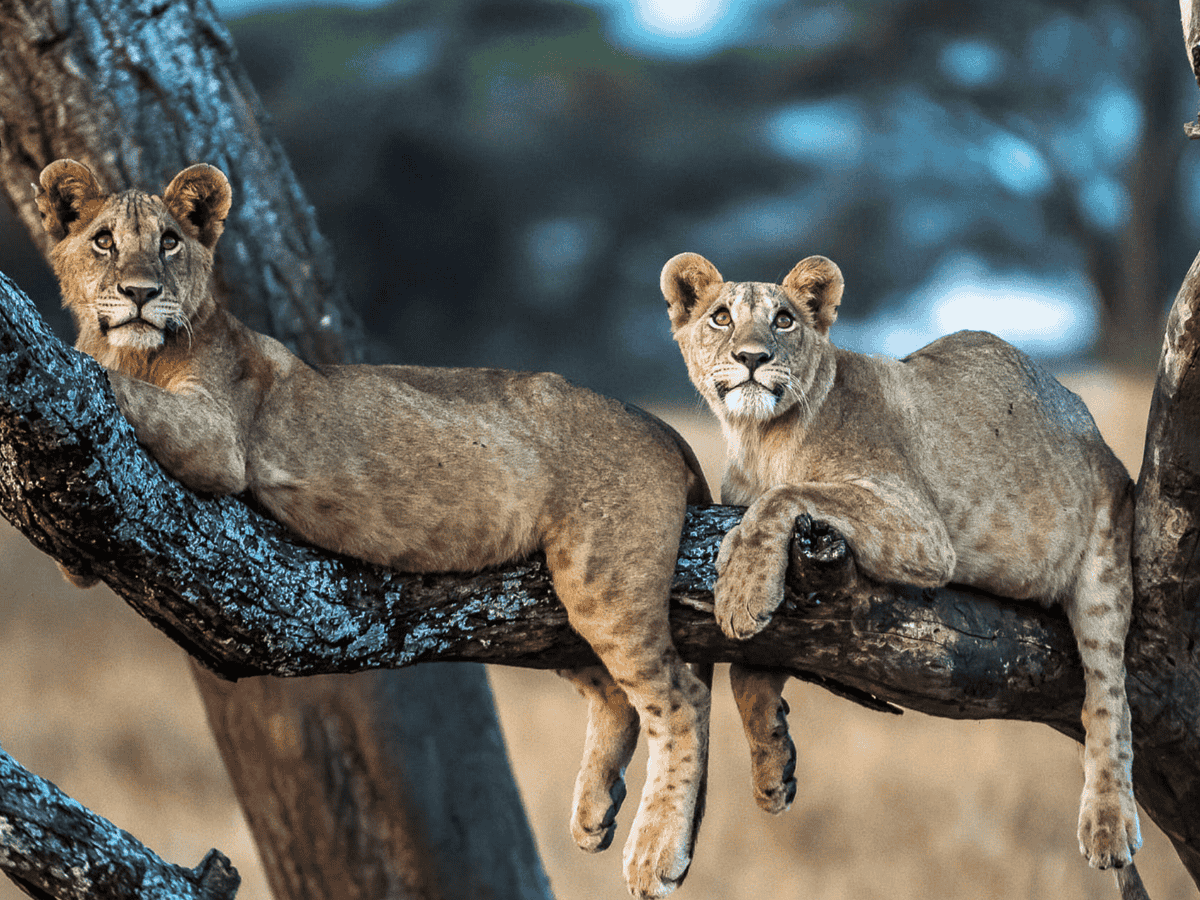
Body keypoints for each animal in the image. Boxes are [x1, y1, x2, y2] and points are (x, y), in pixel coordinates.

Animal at [37, 158, 712, 900]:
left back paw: (656, 853)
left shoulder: (217, 438)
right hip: (559, 600)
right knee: (615, 692)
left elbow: (114, 386)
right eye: (103, 242)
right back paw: (594, 811)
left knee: (680, 697)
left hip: (604, 580)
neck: (137, 349)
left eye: (169, 243)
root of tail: (658, 423)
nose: (139, 294)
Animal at [660, 251, 1141, 878]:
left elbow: (787, 495)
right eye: (721, 317)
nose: (752, 358)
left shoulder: (919, 528)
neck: (758, 438)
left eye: (784, 320)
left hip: (1105, 559)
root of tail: (1089, 424)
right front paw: (771, 770)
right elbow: (749, 671)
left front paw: (740, 588)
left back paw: (1108, 823)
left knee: (1108, 699)